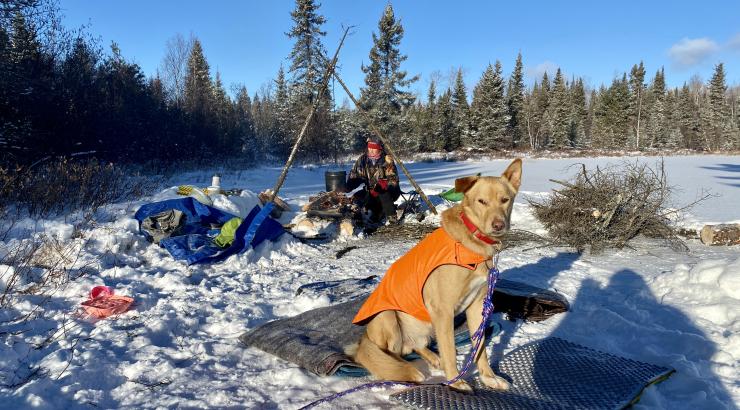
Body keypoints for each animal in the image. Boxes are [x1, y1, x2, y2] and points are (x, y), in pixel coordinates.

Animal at [346, 159, 520, 392]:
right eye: (481, 201)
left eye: (505, 200)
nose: (498, 225)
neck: (472, 243)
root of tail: (363, 339)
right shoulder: (442, 310)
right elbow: (450, 351)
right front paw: (456, 381)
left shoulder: (477, 307)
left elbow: (480, 348)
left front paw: (488, 377)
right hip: (389, 316)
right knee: (392, 355)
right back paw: (405, 368)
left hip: (425, 326)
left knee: (412, 347)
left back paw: (432, 357)